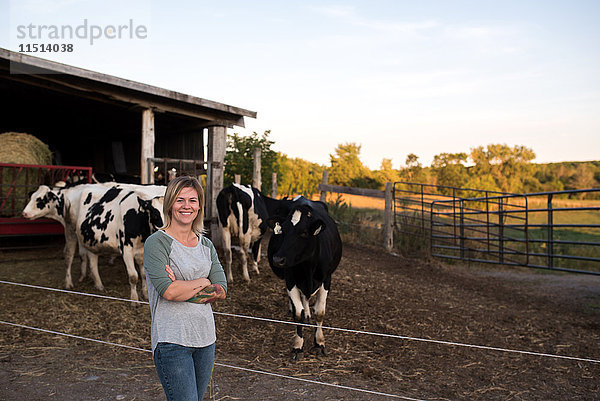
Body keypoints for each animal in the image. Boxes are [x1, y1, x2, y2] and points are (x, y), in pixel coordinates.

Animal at [268, 195, 342, 358]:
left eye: (303, 233)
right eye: (283, 231)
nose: (278, 259)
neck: (307, 267)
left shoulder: (327, 279)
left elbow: (320, 313)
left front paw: (319, 343)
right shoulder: (290, 280)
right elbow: (298, 314)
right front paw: (297, 345)